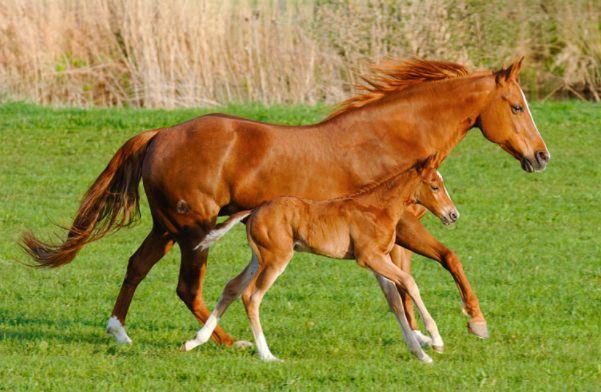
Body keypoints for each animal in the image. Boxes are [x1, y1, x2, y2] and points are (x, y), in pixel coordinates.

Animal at [22, 57, 548, 346]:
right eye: (517, 106)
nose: (541, 156)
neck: (391, 140)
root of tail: (160, 133)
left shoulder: (392, 234)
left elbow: (403, 281)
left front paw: (421, 335)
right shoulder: (404, 226)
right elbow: (443, 260)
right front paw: (473, 325)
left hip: (168, 227)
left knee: (137, 266)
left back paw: (120, 331)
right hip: (194, 231)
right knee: (190, 289)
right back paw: (228, 342)